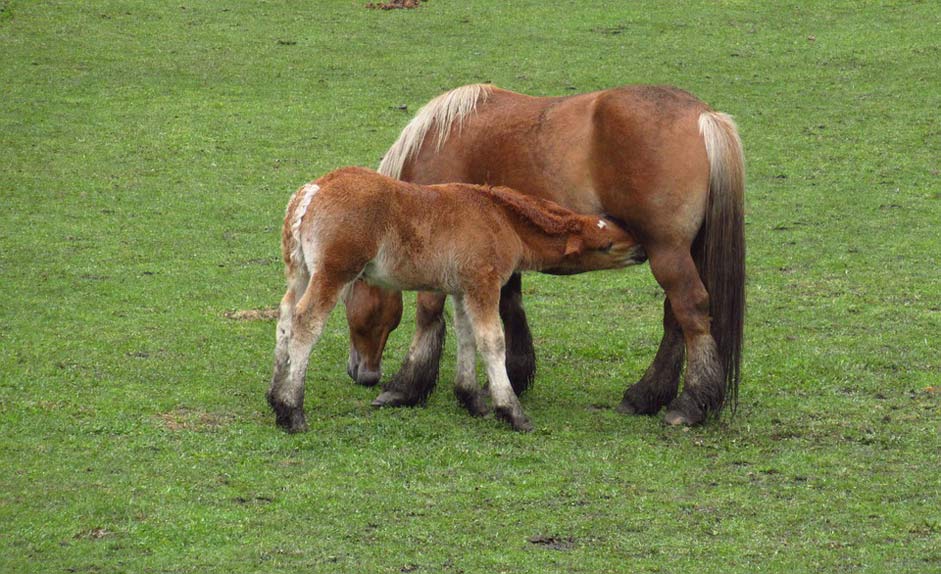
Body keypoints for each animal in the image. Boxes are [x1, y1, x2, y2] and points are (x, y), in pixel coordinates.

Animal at [344, 85, 740, 428]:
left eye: (350, 307)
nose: (360, 373)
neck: (439, 143)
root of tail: (704, 116)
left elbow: (429, 312)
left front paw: (404, 387)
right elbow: (510, 308)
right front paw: (512, 377)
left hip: (666, 252)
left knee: (690, 309)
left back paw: (689, 404)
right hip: (684, 252)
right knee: (676, 317)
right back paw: (646, 396)